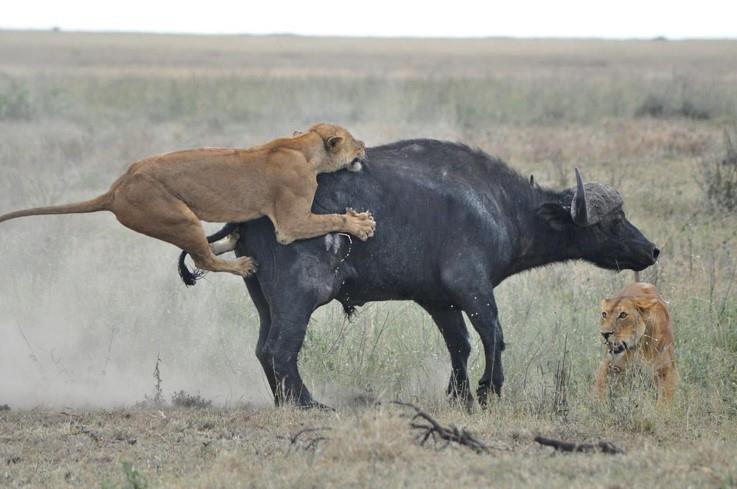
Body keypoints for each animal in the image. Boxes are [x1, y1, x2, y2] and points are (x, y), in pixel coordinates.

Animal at [178, 138, 656, 408]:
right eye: (613, 221)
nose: (651, 250)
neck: (502, 205)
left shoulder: (438, 299)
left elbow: (460, 344)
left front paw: (460, 395)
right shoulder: (472, 287)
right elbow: (493, 335)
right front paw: (489, 390)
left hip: (263, 297)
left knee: (264, 350)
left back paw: (283, 402)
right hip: (300, 295)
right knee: (281, 350)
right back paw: (308, 404)